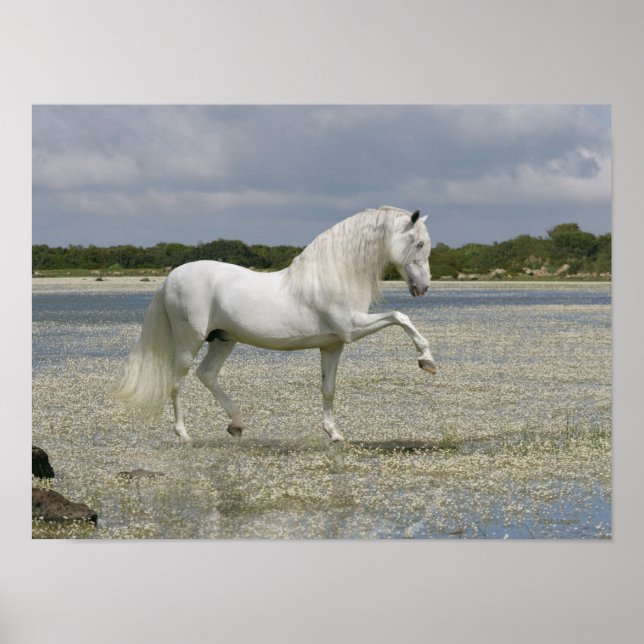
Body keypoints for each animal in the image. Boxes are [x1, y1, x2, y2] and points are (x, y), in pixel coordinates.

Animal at [113, 206, 437, 442]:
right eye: (419, 243)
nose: (422, 288)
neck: (333, 275)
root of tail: (170, 279)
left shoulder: (333, 345)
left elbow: (328, 389)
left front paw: (334, 434)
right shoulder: (352, 328)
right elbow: (400, 317)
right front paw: (426, 360)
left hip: (224, 339)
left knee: (207, 374)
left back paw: (236, 424)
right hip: (188, 342)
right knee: (177, 382)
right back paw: (184, 434)